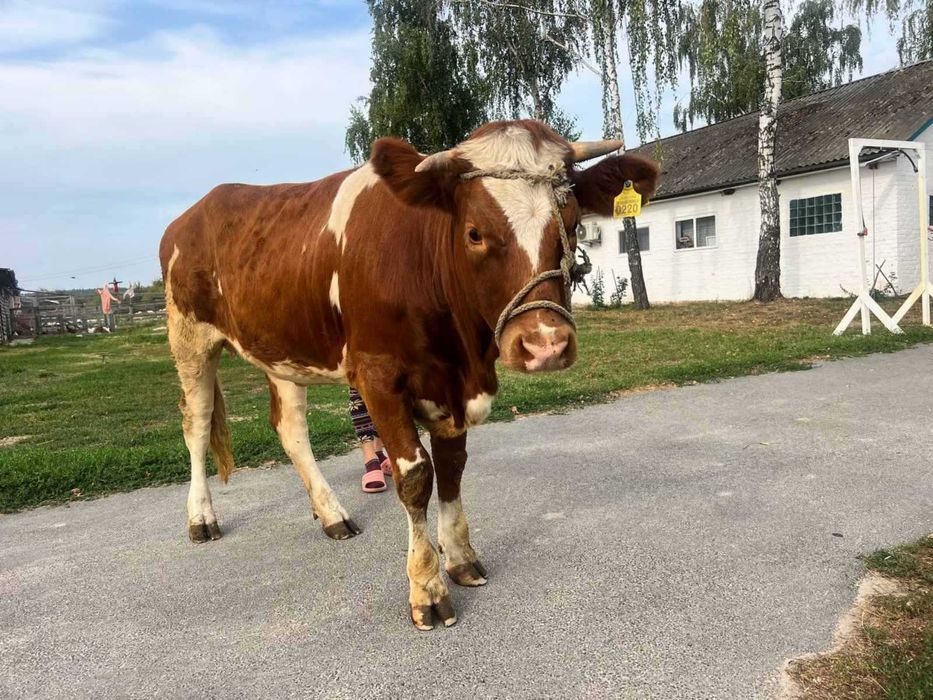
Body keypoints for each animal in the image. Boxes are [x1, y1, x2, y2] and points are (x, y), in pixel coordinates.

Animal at [159, 120, 659, 630]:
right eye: (474, 233)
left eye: (573, 224)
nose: (546, 345)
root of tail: (197, 210)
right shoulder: (378, 377)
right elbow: (416, 477)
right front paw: (426, 588)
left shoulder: (451, 386)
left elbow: (452, 468)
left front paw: (460, 558)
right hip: (189, 339)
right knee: (197, 426)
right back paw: (201, 519)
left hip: (281, 349)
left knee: (291, 428)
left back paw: (332, 514)